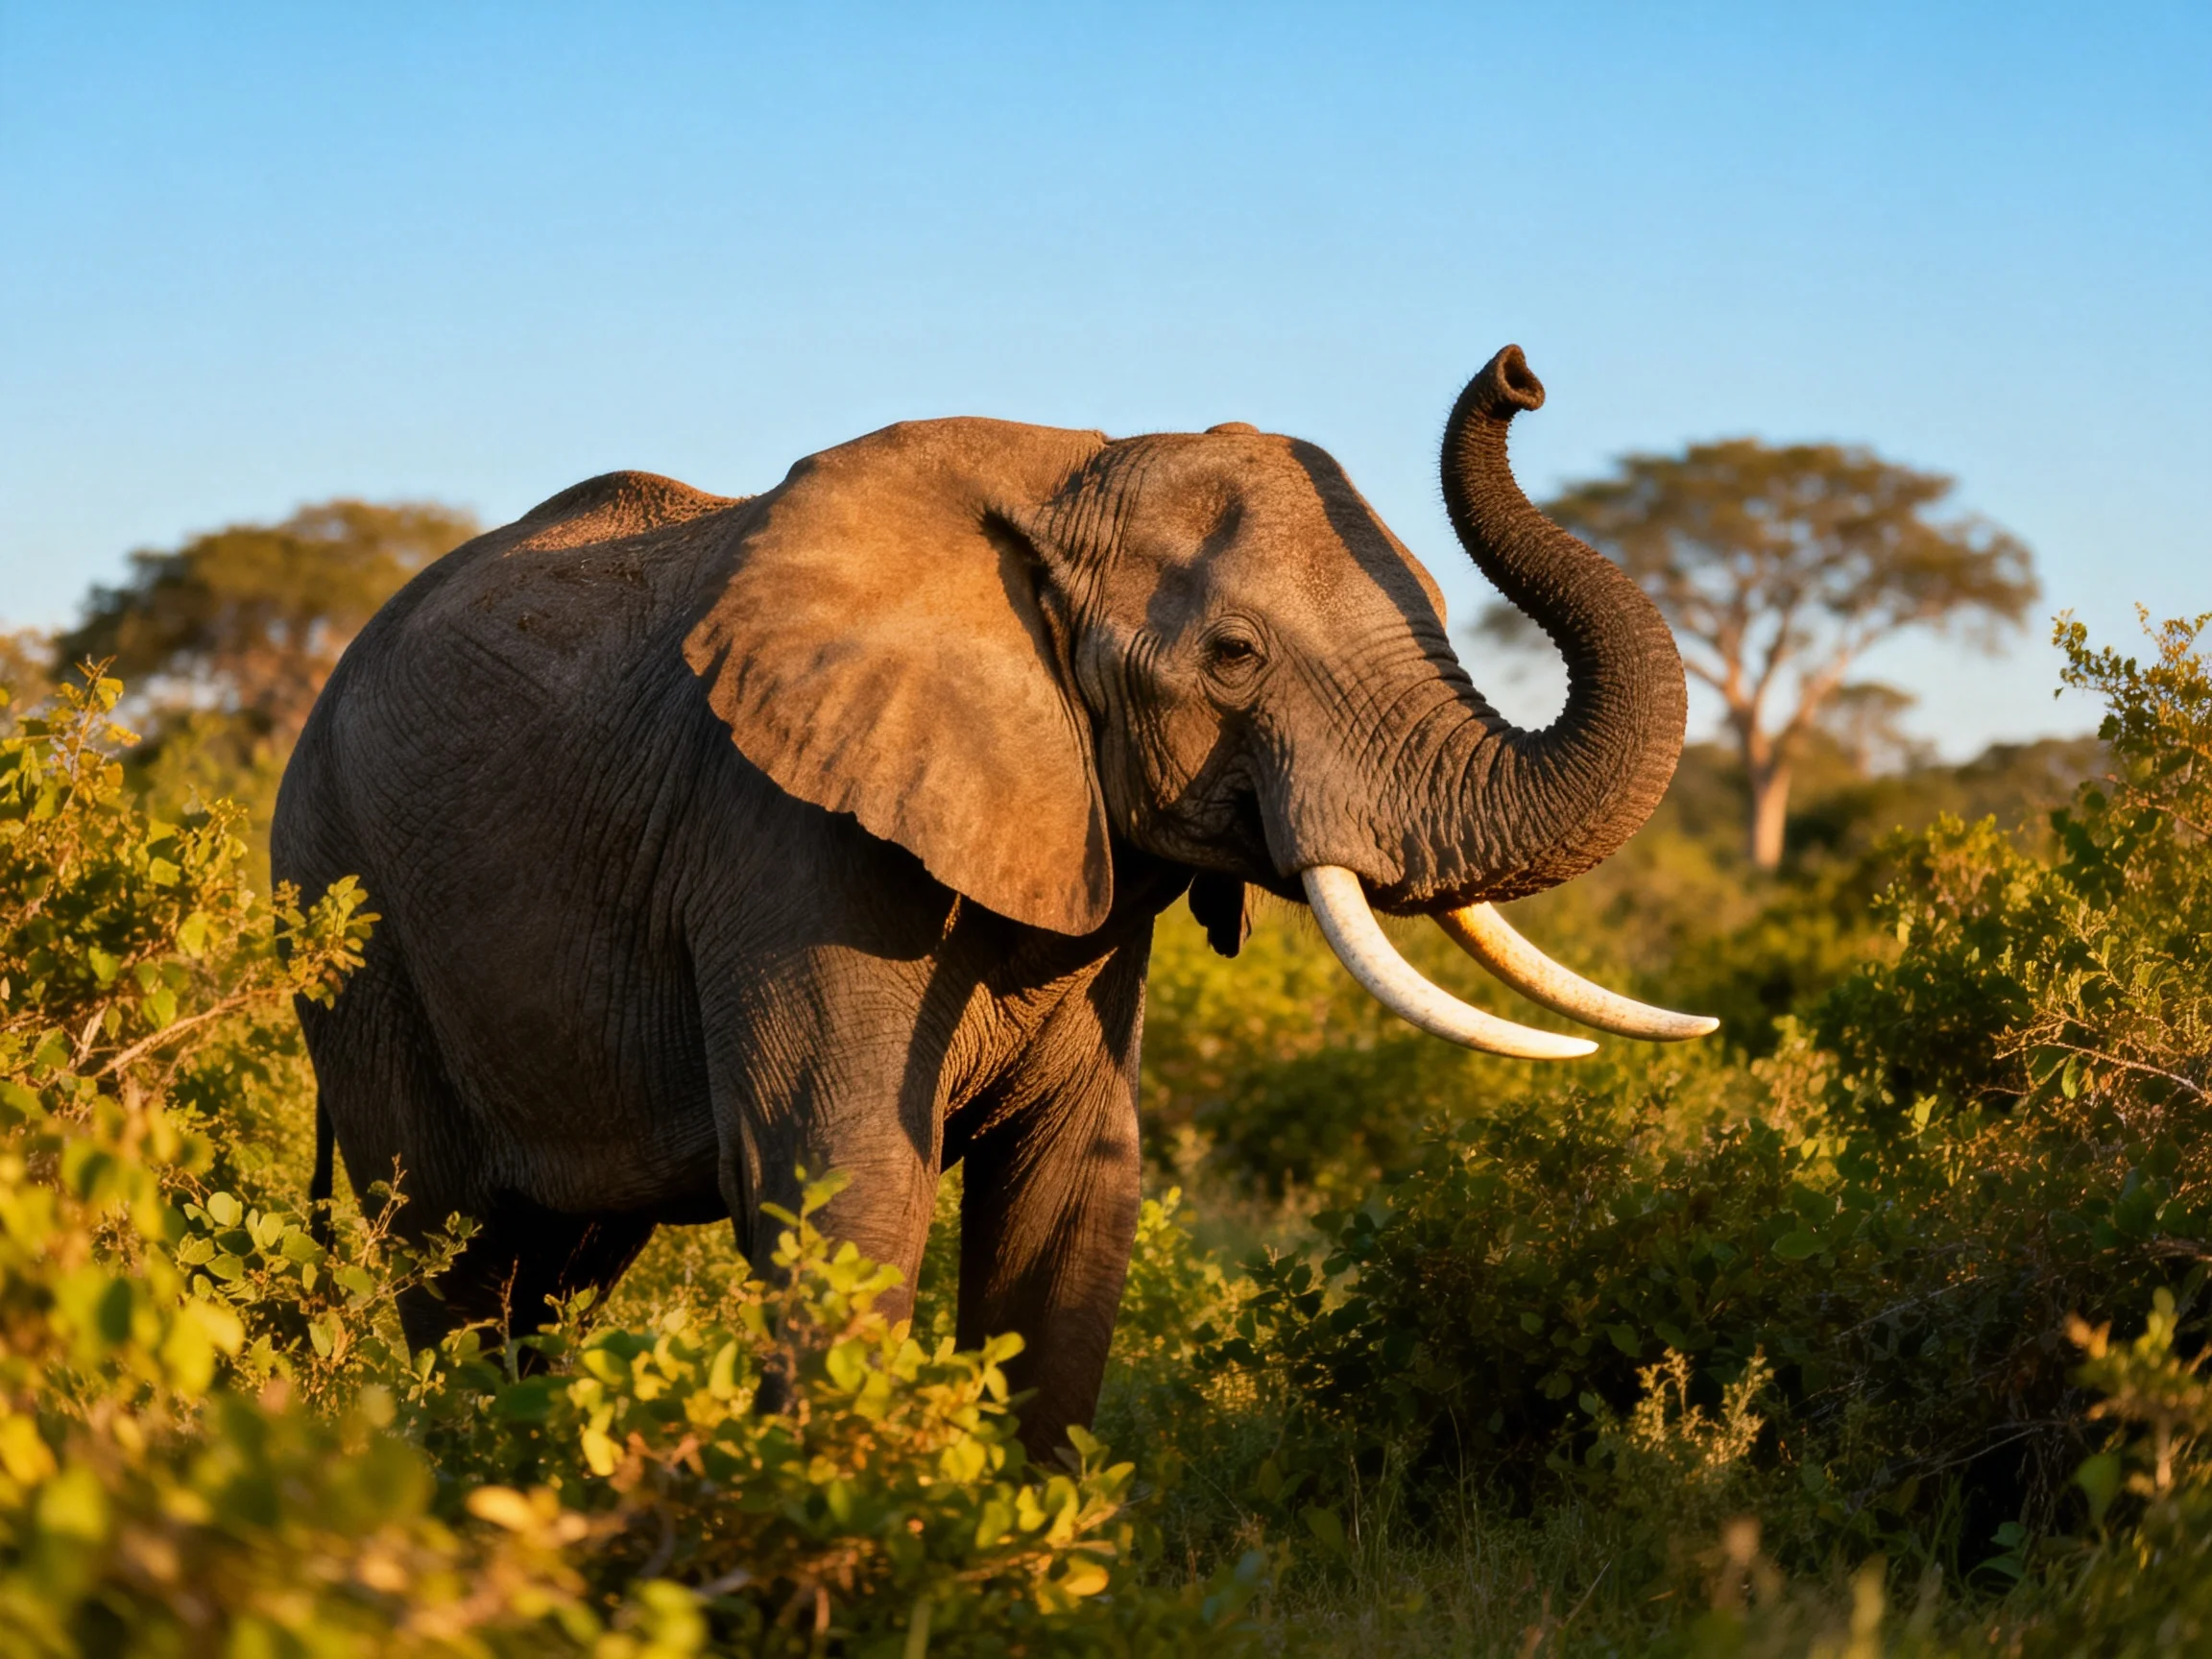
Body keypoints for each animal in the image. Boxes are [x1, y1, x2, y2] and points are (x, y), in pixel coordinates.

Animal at [272, 345, 1714, 1459]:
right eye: (1235, 657)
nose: (1518, 373)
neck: (1060, 472)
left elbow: (1076, 1187)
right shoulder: (782, 840)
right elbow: (842, 1180)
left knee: (558, 1264)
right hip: (351, 913)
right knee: (443, 1245)